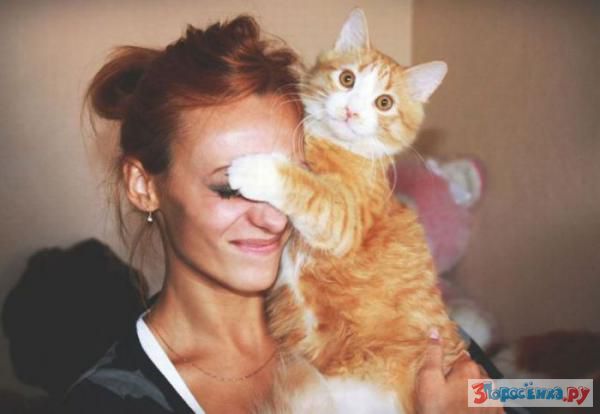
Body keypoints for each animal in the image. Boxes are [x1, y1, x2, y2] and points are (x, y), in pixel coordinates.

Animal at [228, 9, 466, 413]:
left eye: (384, 103)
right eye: (347, 78)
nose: (352, 110)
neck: (331, 146)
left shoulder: (344, 221)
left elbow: (305, 186)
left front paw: (255, 169)